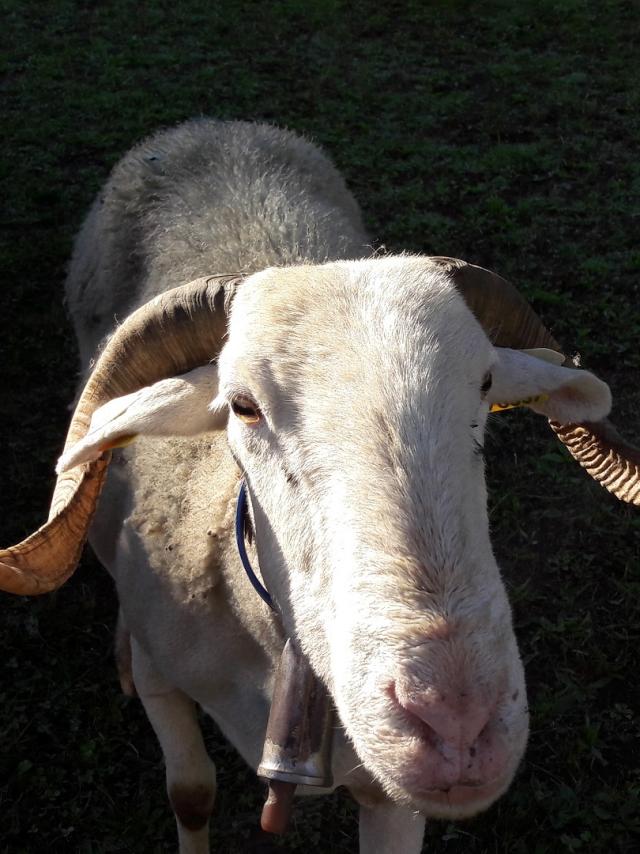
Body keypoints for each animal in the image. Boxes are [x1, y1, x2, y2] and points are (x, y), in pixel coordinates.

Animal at [1, 118, 638, 854]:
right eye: (242, 406)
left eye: (484, 384)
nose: (456, 725)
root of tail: (214, 125)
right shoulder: (167, 683)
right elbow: (191, 795)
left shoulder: (395, 805)